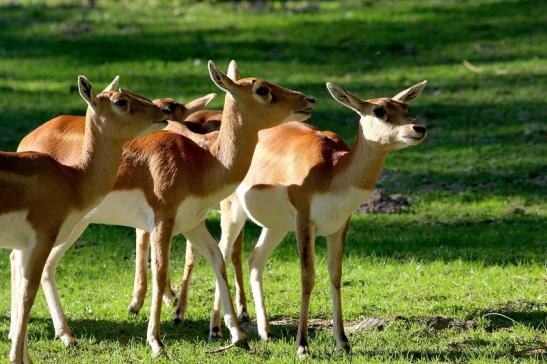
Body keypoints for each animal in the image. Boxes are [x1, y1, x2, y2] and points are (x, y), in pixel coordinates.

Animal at [1, 75, 171, 362]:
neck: (72, 180)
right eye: (121, 101)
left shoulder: (25, 246)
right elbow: (28, 294)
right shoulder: (42, 239)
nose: (164, 110)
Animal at [16, 61, 316, 356]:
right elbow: (160, 273)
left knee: (44, 266)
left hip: (76, 224)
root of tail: (28, 140)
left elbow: (217, 260)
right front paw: (157, 342)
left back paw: (66, 336)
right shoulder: (163, 220)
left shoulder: (193, 223)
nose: (308, 100)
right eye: (262, 89)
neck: (200, 162)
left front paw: (238, 336)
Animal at [176, 80, 428, 358]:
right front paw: (302, 345)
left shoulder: (339, 226)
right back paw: (216, 329)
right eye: (379, 110)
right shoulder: (304, 223)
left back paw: (265, 331)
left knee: (255, 259)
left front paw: (343, 342)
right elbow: (307, 277)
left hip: (276, 227)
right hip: (233, 213)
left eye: (406, 107)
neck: (331, 172)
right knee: (221, 253)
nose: (418, 128)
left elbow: (335, 275)